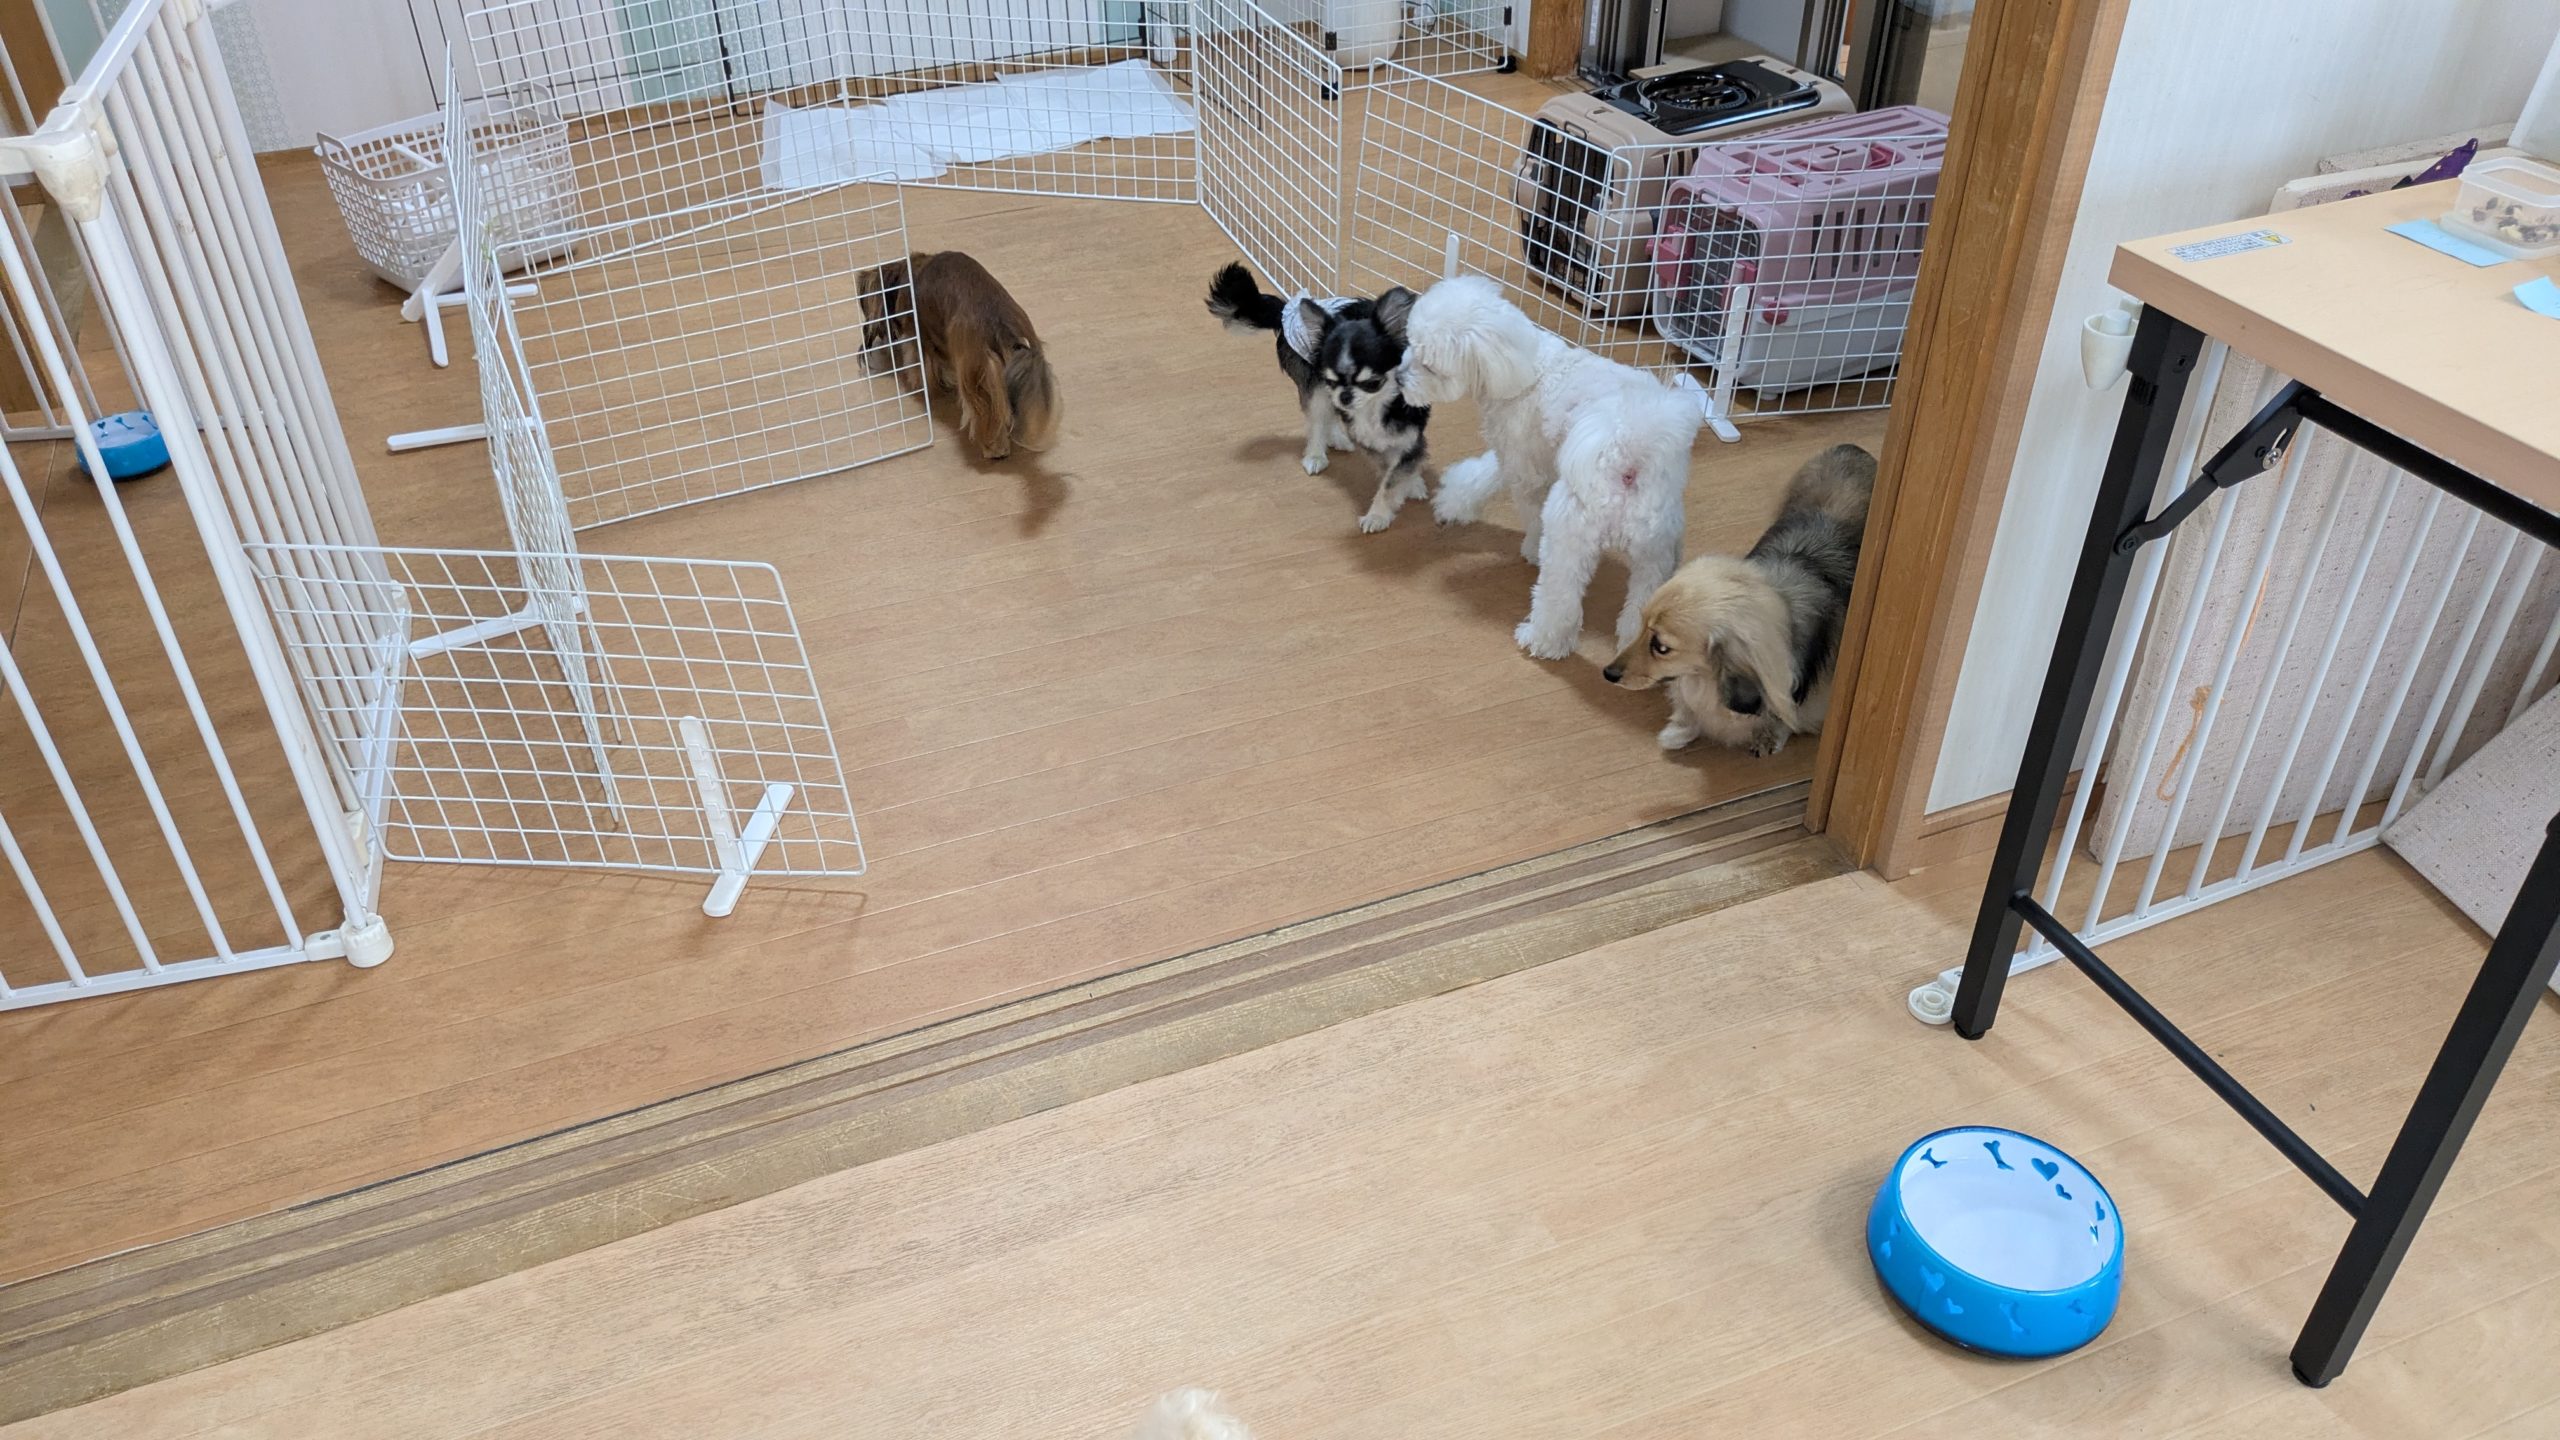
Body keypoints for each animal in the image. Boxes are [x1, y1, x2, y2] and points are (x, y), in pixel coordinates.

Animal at [1206, 261, 1433, 534]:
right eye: (1332, 379)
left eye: (1372, 382)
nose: (1345, 396)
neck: (1376, 407)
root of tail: (1287, 308)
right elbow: (1388, 477)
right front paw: (1379, 514)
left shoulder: (1411, 431)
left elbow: (1402, 466)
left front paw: (1411, 482)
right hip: (1315, 387)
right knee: (1317, 419)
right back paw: (1316, 455)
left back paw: (1337, 437)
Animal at [1396, 275, 1702, 659]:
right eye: (1410, 343)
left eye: (1430, 365)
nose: (1397, 378)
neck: (1526, 367)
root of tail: (1631, 452)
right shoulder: (1525, 454)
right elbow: (1485, 474)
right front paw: (1455, 500)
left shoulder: (1523, 462)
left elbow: (1520, 503)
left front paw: (1527, 546)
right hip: (1656, 552)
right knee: (1640, 604)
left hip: (1570, 529)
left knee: (1561, 597)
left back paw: (1542, 639)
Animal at [1603, 443, 1875, 756]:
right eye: (1641, 625)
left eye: (1661, 647)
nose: (1608, 673)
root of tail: (1852, 448)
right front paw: (1681, 728)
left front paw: (1769, 736)